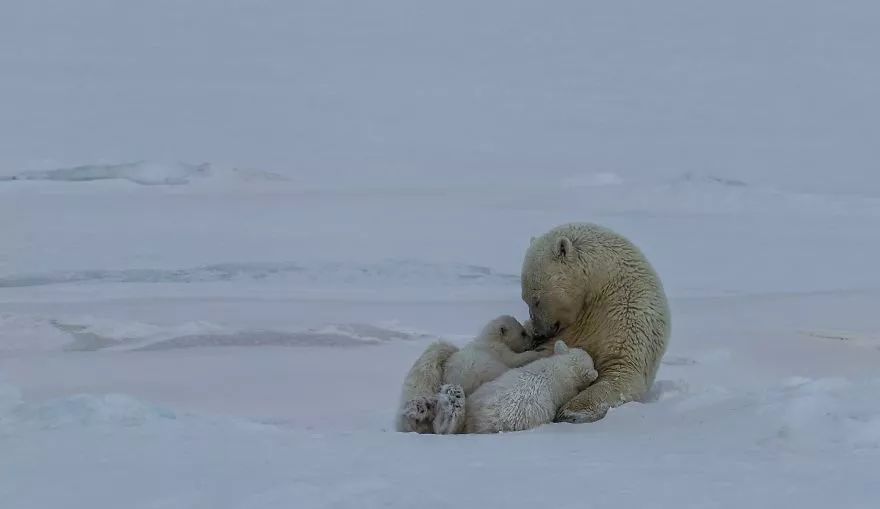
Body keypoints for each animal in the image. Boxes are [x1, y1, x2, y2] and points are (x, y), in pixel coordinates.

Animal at [398, 316, 548, 430]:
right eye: (522, 333)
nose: (533, 340)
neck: (489, 338)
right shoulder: (498, 350)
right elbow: (515, 359)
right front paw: (539, 352)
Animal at [520, 221, 672, 420]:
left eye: (536, 300)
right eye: (525, 299)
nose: (538, 334)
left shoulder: (626, 314)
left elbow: (621, 370)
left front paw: (572, 410)